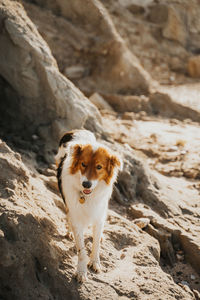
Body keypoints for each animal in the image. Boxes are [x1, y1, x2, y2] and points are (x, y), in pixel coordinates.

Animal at [55, 129, 122, 282]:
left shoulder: (99, 214)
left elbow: (96, 243)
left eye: (99, 167)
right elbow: (81, 249)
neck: (86, 196)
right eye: (83, 164)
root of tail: (76, 130)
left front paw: (95, 262)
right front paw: (81, 271)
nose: (86, 184)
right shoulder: (75, 212)